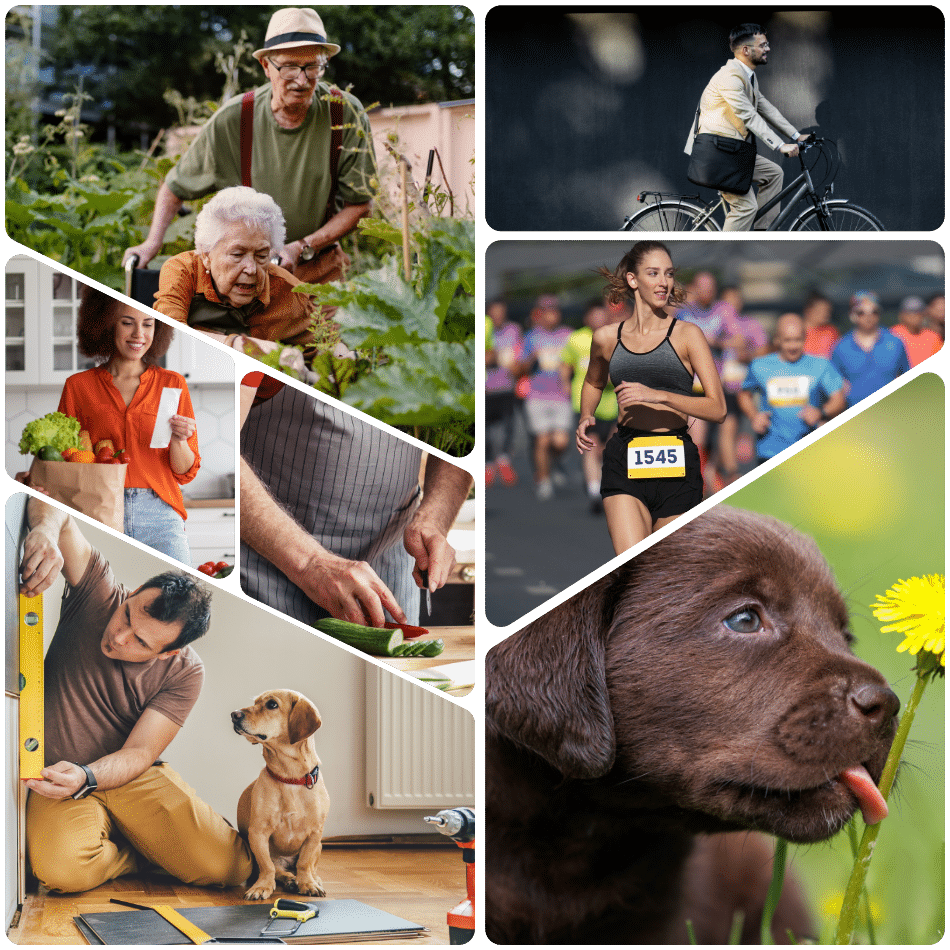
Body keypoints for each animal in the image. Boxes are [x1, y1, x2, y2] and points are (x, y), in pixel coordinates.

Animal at [231, 692, 330, 900]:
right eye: (255, 702)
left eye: (272, 704)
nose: (234, 714)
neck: (289, 777)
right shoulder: (258, 833)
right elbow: (267, 866)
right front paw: (262, 887)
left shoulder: (315, 834)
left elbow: (304, 863)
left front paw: (308, 883)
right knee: (279, 870)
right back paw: (290, 879)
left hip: (319, 846)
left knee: (309, 867)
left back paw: (311, 879)